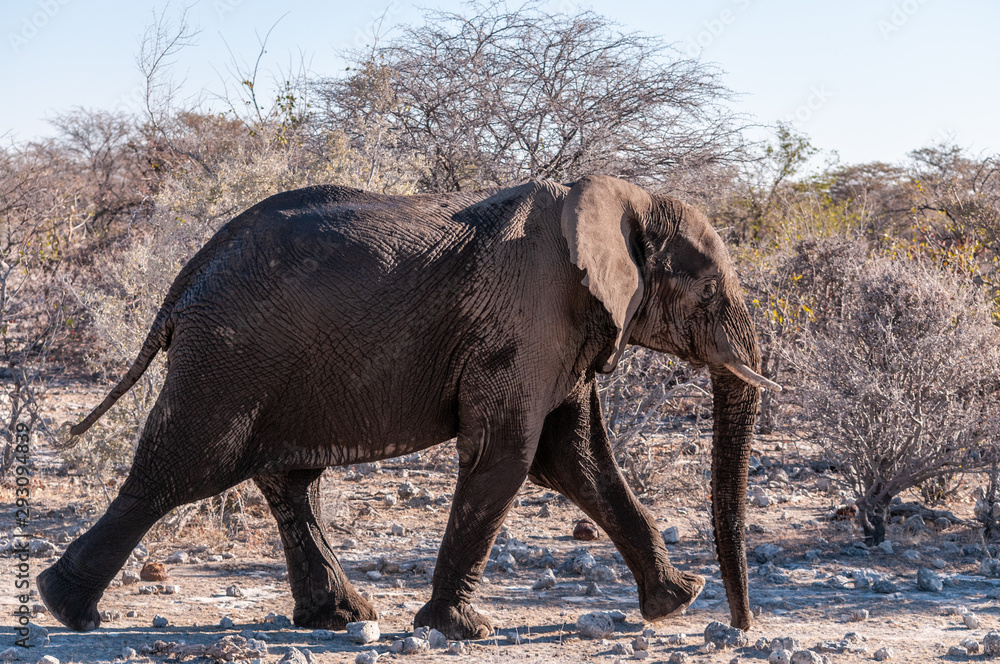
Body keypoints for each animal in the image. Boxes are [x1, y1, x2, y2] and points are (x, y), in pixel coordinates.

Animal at [39, 175, 780, 638]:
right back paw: (67, 610)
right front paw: (464, 630)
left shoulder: (568, 330)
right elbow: (509, 456)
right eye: (708, 290)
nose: (740, 626)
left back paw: (341, 617)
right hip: (228, 357)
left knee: (284, 479)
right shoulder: (531, 316)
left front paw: (676, 602)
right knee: (181, 469)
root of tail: (186, 279)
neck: (619, 197)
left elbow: (575, 459)